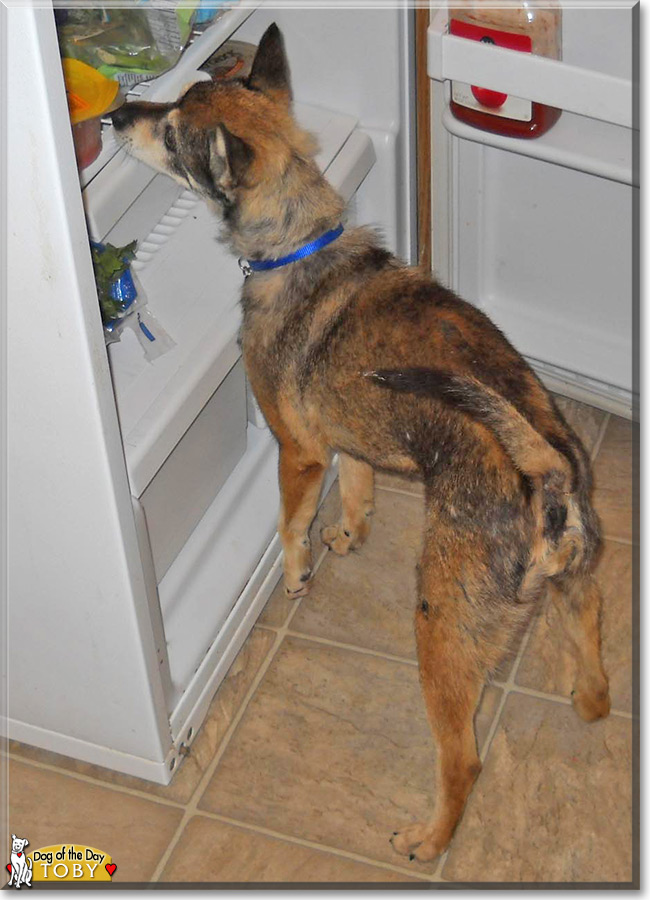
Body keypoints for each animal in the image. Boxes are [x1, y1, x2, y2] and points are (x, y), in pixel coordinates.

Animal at [111, 24, 608, 860]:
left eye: (172, 133)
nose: (116, 116)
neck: (302, 244)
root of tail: (548, 479)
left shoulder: (296, 450)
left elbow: (290, 524)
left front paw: (297, 572)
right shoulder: (341, 438)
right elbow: (358, 481)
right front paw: (349, 530)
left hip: (439, 634)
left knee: (464, 760)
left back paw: (430, 838)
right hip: (575, 587)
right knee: (595, 638)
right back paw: (588, 693)